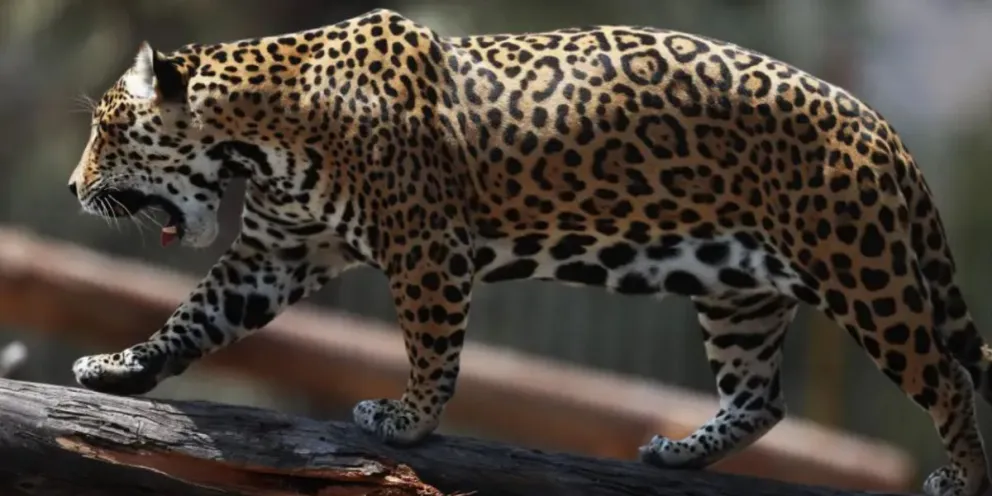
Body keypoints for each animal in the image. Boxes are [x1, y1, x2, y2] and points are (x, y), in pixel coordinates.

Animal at [66, 8, 992, 496]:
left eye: (108, 129)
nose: (74, 188)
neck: (259, 134)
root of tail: (881, 128)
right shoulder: (274, 252)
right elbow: (191, 317)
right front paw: (119, 367)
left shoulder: (427, 246)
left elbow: (432, 347)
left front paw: (406, 420)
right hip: (740, 290)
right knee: (761, 397)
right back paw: (680, 452)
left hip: (861, 269)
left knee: (945, 376)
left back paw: (962, 477)